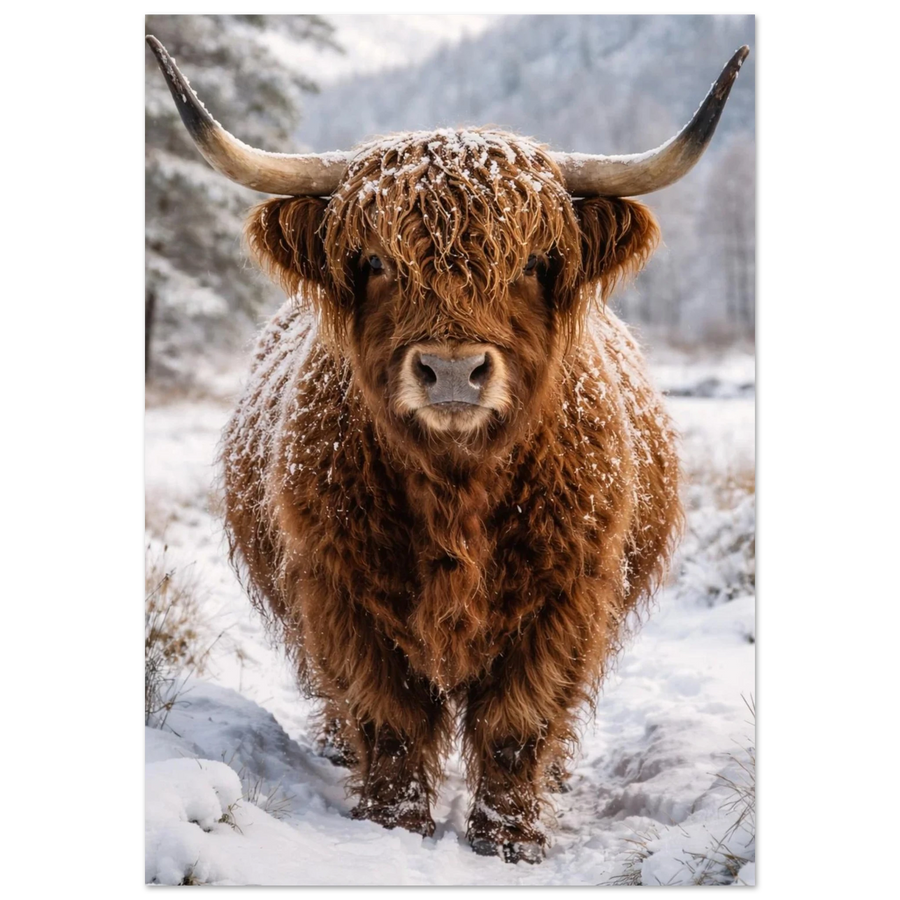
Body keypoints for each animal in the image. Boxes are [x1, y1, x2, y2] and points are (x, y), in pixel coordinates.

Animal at [147, 36, 748, 863]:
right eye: (374, 262)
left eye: (531, 263)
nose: (454, 369)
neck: (457, 488)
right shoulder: (340, 594)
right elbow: (389, 720)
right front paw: (391, 824)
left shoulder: (564, 600)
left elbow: (517, 725)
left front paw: (510, 840)